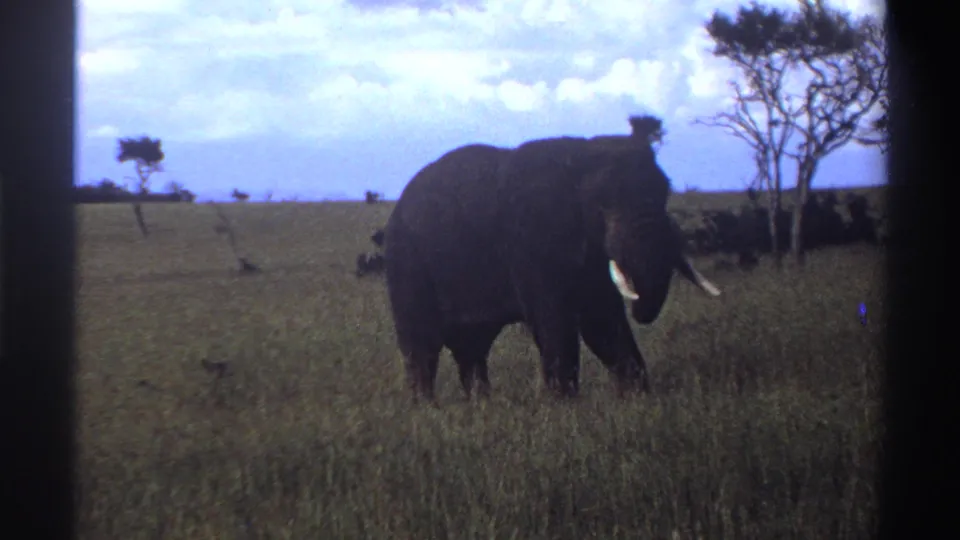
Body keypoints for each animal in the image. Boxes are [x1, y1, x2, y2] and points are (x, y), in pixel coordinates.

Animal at [383, 117, 721, 402]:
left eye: (666, 193)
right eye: (603, 205)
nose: (642, 311)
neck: (580, 157)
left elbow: (603, 323)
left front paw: (639, 400)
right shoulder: (533, 238)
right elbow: (555, 320)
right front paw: (564, 408)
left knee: (471, 345)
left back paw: (481, 406)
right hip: (406, 260)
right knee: (422, 343)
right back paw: (427, 409)